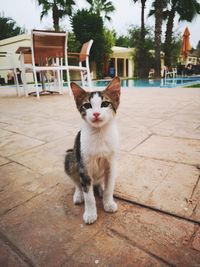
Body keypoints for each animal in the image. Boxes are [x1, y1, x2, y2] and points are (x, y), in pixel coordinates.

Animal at [64, 76, 120, 225]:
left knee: (99, 182)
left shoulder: (112, 163)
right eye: (87, 105)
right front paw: (90, 213)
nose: (96, 113)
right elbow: (89, 196)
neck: (99, 133)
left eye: (105, 103)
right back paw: (79, 194)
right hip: (71, 157)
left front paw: (108, 202)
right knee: (78, 182)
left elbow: (110, 186)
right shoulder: (84, 166)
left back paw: (100, 188)